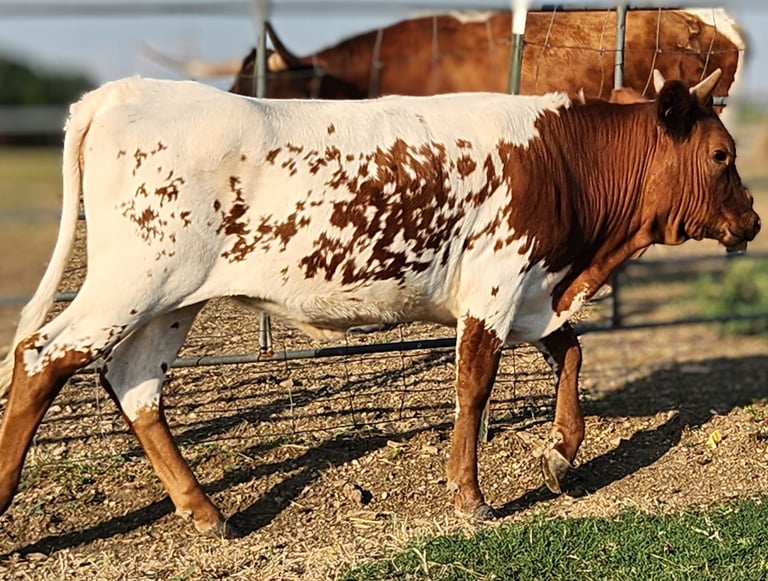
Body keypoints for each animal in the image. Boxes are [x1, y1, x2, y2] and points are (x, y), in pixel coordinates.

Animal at [0, 69, 759, 538]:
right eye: (722, 155)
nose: (752, 220)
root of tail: (120, 93)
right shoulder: (496, 285)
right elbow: (474, 386)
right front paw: (470, 497)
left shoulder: (532, 290)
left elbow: (571, 350)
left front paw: (562, 455)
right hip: (132, 280)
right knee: (41, 357)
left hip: (171, 299)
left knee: (133, 384)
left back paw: (207, 512)